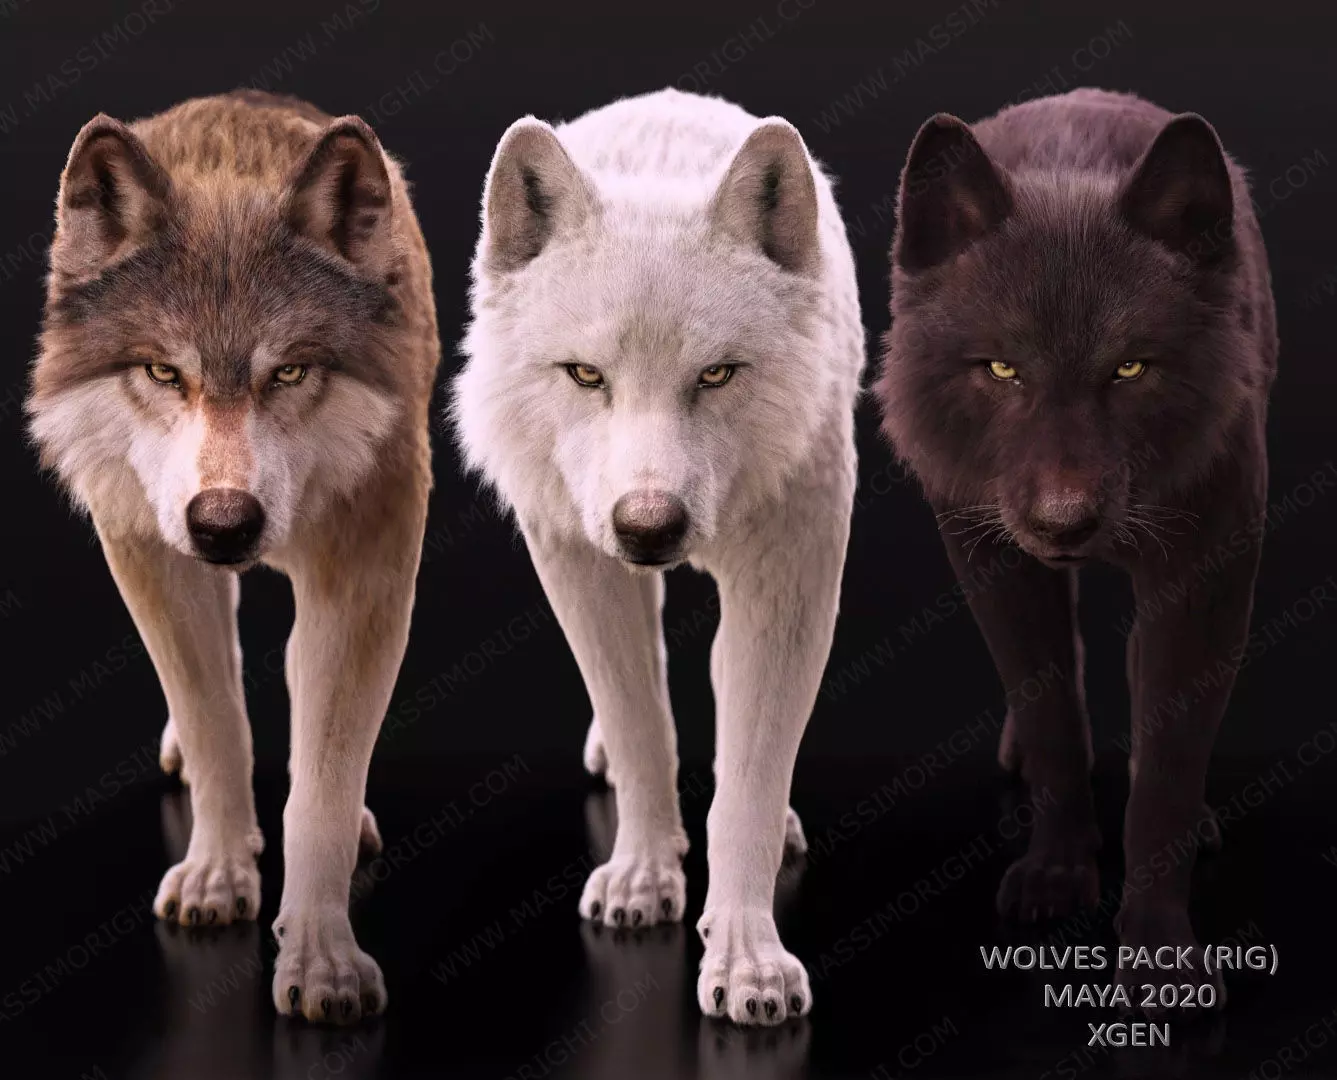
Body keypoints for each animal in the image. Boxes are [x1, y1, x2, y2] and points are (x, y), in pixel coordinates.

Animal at [27, 90, 440, 1024]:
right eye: (161, 372)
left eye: (288, 373)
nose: (224, 525)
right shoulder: (152, 554)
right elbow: (216, 723)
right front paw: (218, 874)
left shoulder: (367, 571)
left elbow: (322, 788)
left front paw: (322, 961)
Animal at [453, 87, 863, 1025]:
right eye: (584, 375)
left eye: (715, 376)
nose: (648, 527)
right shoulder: (578, 562)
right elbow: (641, 725)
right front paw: (643, 876)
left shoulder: (790, 580)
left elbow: (748, 783)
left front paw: (747, 961)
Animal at [876, 88, 1277, 1008]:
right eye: (1001, 370)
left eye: (1128, 370)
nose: (1065, 525)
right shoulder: (994, 563)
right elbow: (1052, 710)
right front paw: (1057, 872)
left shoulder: (1204, 582)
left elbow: (1166, 767)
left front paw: (1158, 950)